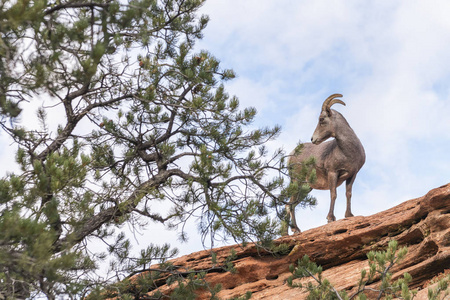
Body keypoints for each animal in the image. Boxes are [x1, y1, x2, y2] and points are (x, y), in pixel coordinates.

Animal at [284, 94, 366, 234]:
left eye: (321, 119)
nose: (313, 139)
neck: (347, 151)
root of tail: (291, 156)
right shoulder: (333, 173)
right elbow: (333, 194)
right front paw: (330, 218)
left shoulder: (352, 175)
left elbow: (348, 194)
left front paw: (349, 215)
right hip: (297, 182)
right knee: (289, 205)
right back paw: (293, 231)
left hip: (305, 188)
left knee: (291, 204)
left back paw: (291, 232)